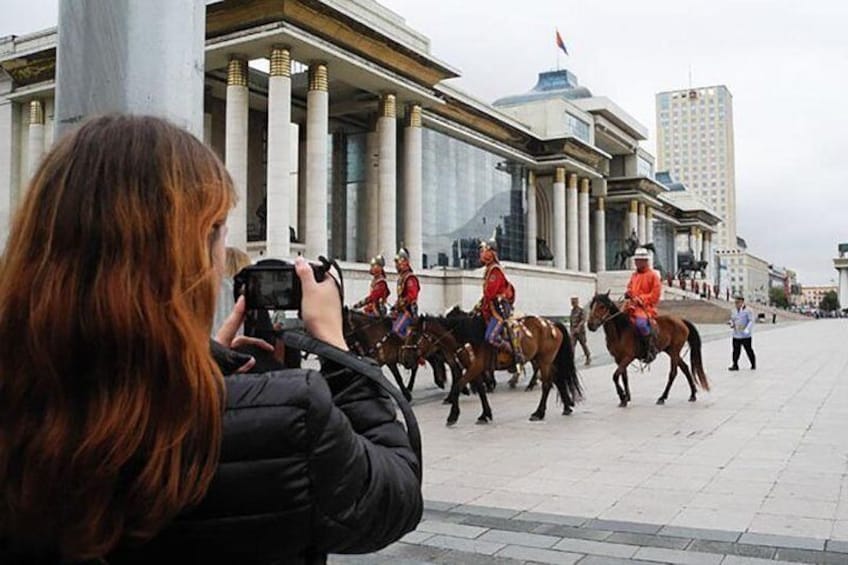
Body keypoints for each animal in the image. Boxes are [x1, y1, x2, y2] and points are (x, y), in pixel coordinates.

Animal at [406, 310, 584, 426]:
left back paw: (538, 413)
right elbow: (480, 390)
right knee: (558, 380)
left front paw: (453, 416)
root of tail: (551, 323)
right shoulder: (474, 368)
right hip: (545, 360)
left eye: (414, 334)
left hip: (544, 360)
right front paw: (485, 414)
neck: (468, 337)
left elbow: (458, 386)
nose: (407, 359)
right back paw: (566, 407)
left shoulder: (475, 366)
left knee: (547, 384)